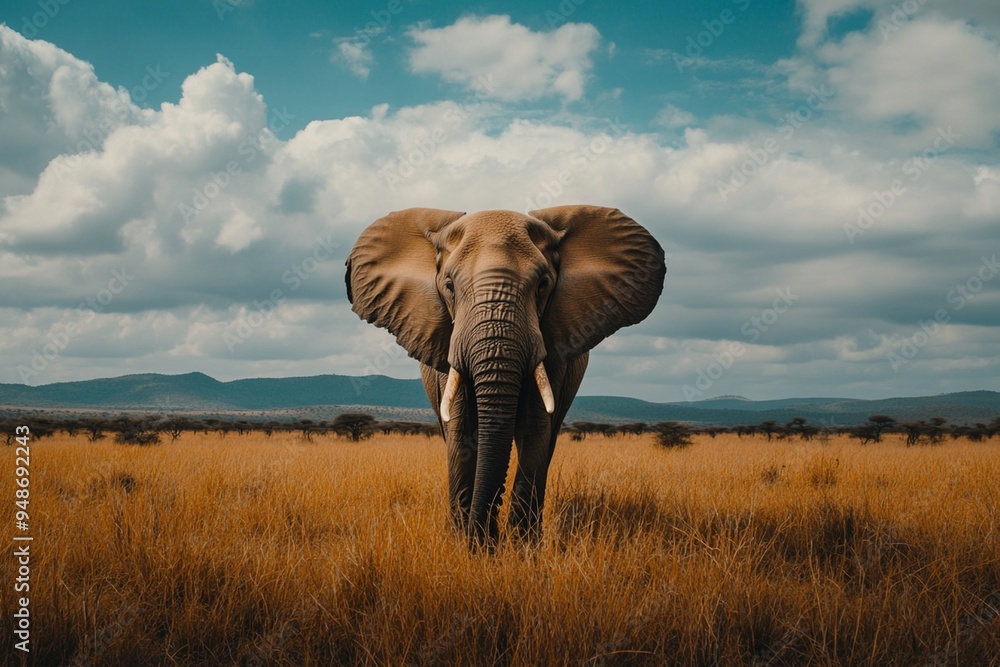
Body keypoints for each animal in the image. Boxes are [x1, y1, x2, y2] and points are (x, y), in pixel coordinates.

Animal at [345, 205, 665, 548]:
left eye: (543, 284)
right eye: (449, 286)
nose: (487, 536)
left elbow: (535, 432)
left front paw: (522, 549)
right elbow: (462, 433)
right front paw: (468, 546)